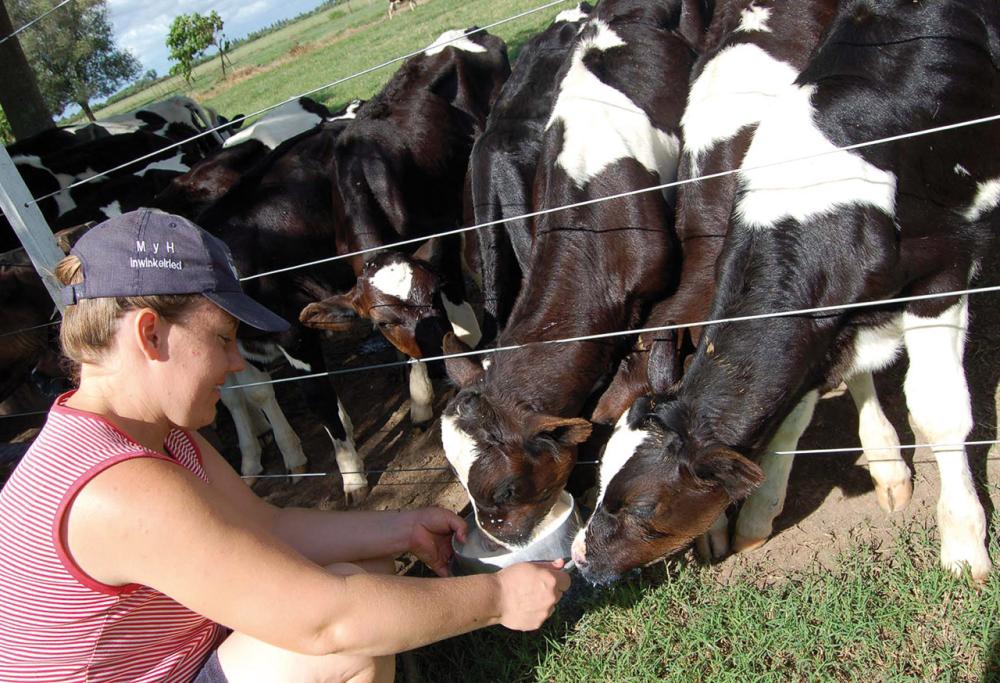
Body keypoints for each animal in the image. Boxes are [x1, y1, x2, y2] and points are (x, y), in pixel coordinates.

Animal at [572, 0, 1000, 588]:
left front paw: (962, 543)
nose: (578, 557)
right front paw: (761, 514)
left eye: (640, 507)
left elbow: (938, 412)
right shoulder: (827, 324)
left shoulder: (943, 276)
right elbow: (798, 414)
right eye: (597, 487)